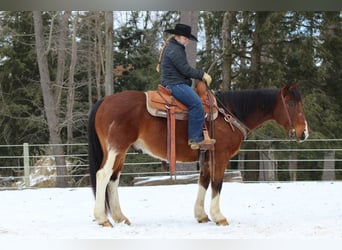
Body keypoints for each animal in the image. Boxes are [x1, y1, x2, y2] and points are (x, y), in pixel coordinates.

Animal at [87, 82, 308, 227]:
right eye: (291, 104)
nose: (304, 132)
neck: (230, 114)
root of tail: (105, 101)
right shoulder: (221, 156)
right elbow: (217, 184)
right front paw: (219, 217)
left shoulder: (207, 157)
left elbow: (203, 181)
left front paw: (201, 215)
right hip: (116, 149)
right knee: (103, 175)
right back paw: (102, 218)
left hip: (120, 152)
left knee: (113, 179)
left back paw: (120, 217)